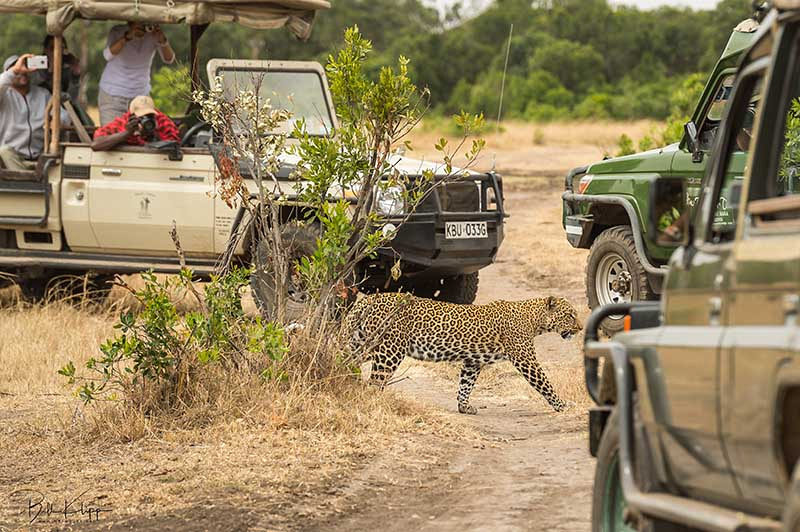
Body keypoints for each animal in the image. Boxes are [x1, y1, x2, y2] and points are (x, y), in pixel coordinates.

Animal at [342, 294, 580, 414]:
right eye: (570, 315)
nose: (580, 328)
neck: (535, 321)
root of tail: (369, 299)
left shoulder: (473, 362)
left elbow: (466, 385)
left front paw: (464, 407)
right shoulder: (525, 359)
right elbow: (545, 383)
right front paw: (562, 405)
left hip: (361, 342)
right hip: (389, 350)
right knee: (375, 382)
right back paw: (377, 404)